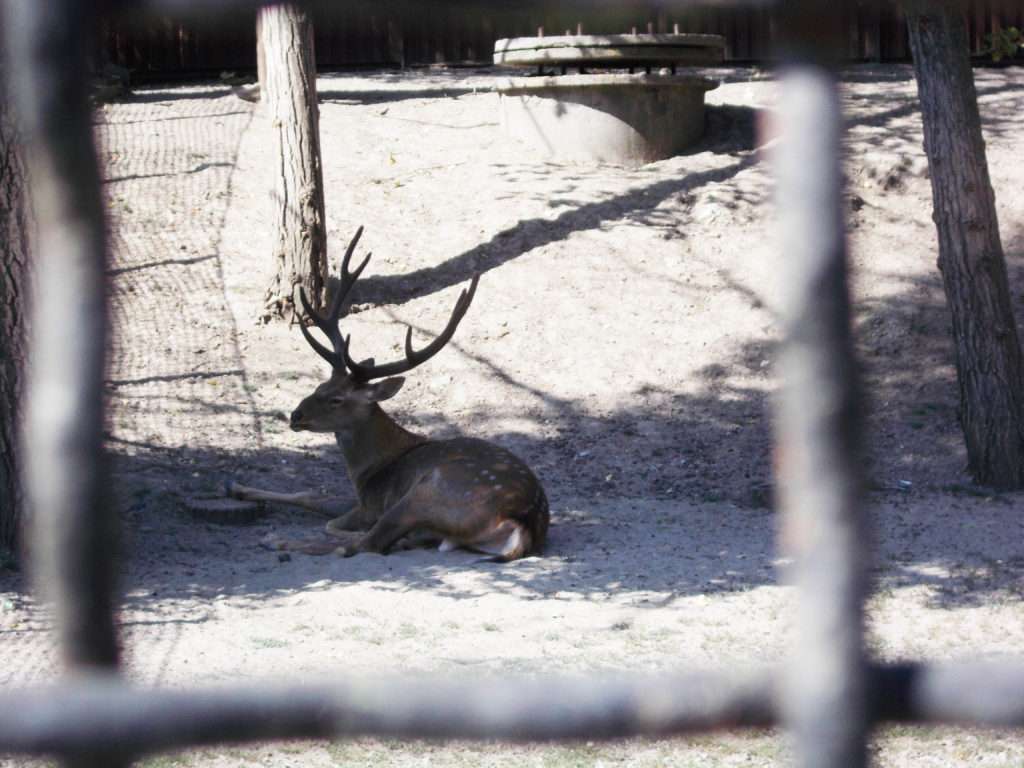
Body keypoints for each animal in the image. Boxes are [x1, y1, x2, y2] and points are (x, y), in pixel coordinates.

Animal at [228, 227, 549, 561]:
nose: (296, 415)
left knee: (365, 544)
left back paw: (279, 540)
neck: (369, 471)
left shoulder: (370, 504)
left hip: (427, 492)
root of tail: (521, 523)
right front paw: (236, 487)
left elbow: (325, 511)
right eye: (319, 386)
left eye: (336, 399)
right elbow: (309, 492)